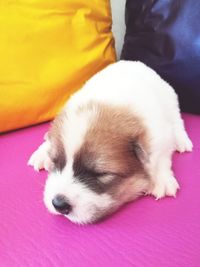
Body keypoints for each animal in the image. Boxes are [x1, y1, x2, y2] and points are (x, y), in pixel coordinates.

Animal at [27, 60, 192, 224]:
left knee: (177, 121)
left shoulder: (160, 134)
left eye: (101, 173)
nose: (58, 204)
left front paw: (161, 179)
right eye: (55, 162)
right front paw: (44, 153)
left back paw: (182, 141)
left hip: (170, 100)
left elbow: (161, 158)